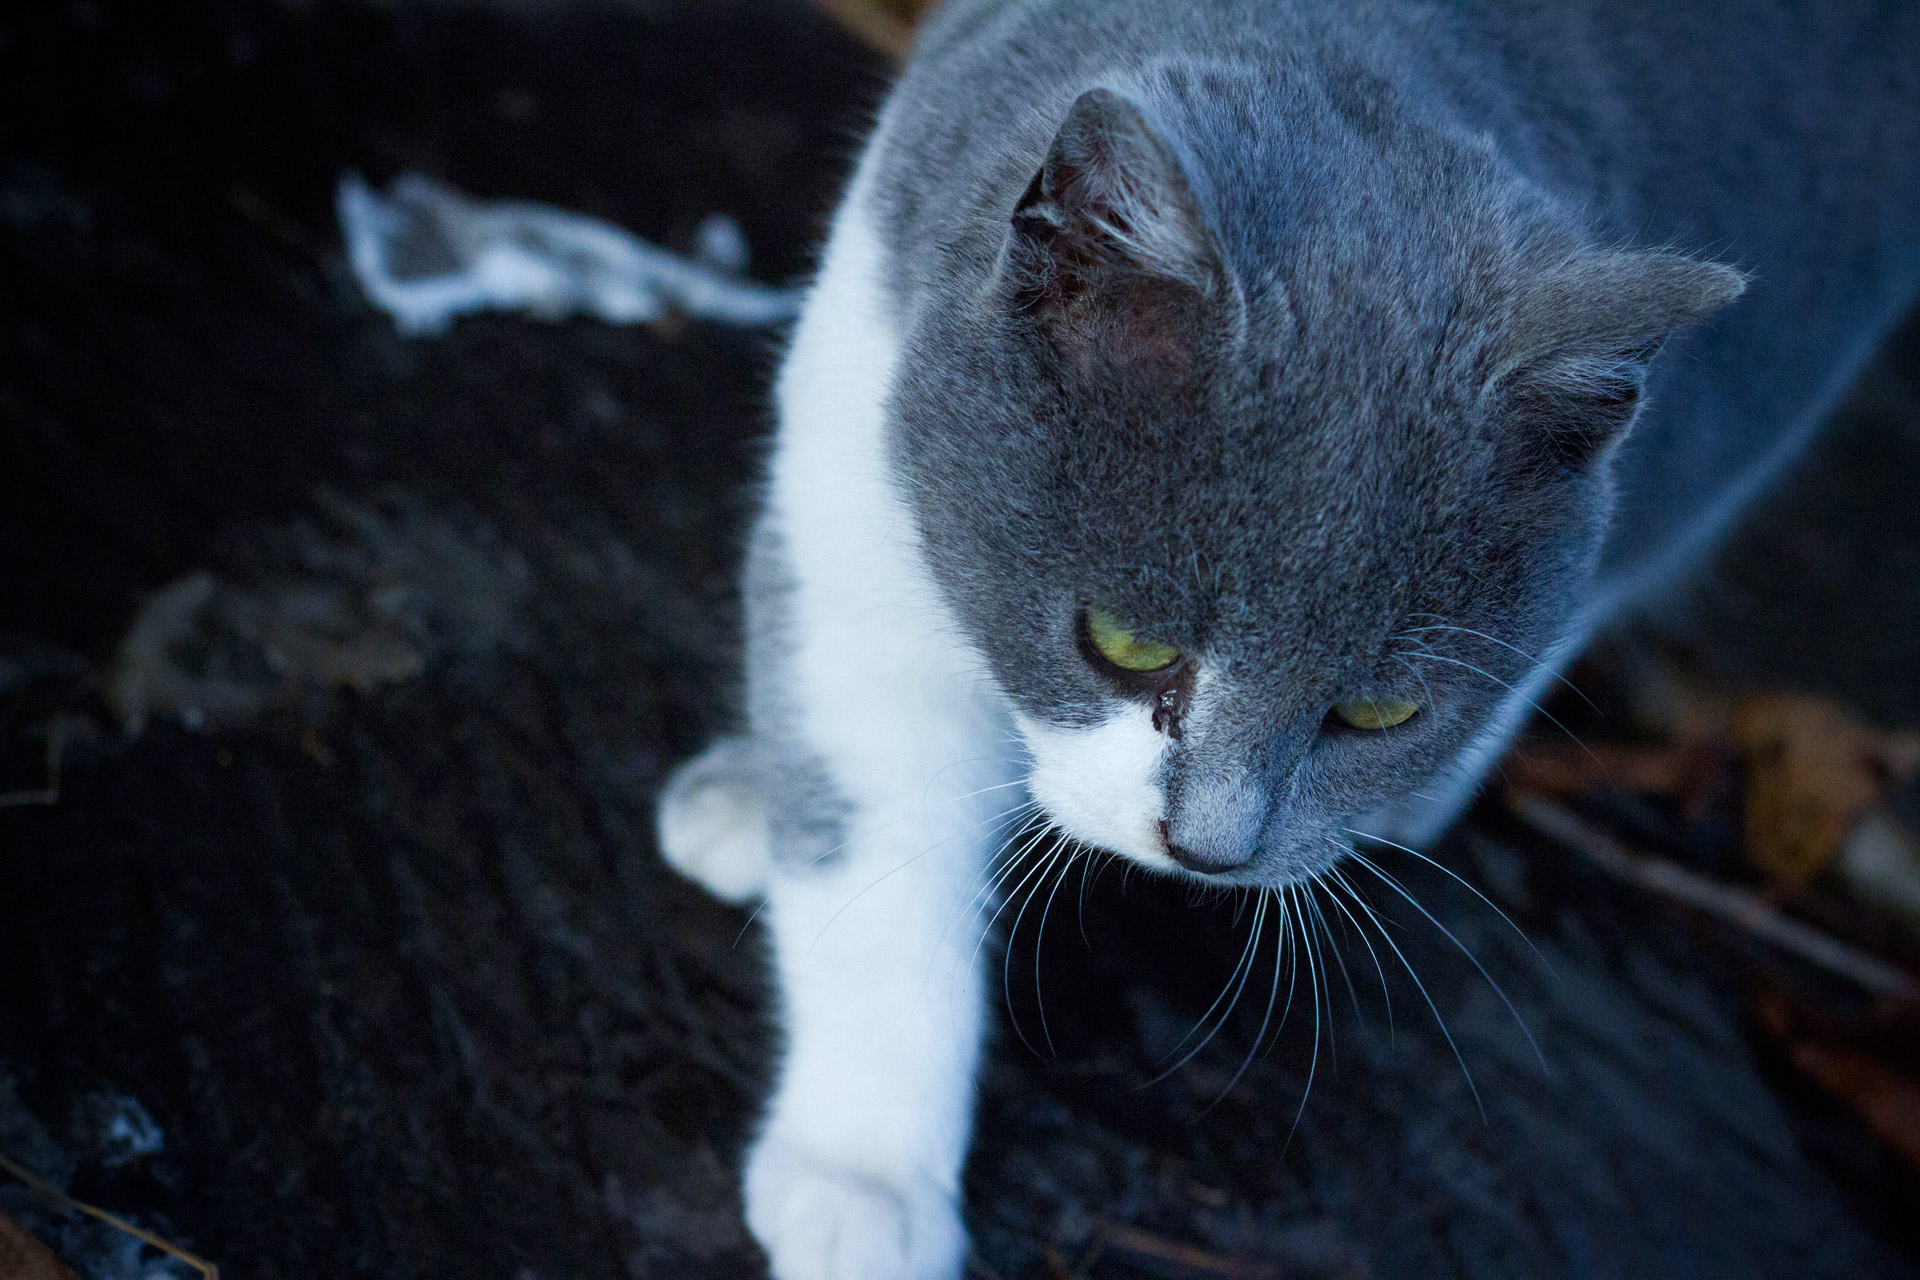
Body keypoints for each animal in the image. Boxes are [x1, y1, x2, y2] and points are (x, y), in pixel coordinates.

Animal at [652, 0, 1912, 1274]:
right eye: (1126, 643)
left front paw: (860, 1187)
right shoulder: (859, 435)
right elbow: (871, 831)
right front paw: (863, 1164)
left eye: (1378, 711)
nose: (1209, 849)